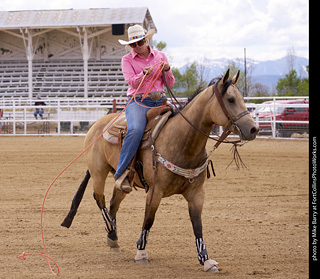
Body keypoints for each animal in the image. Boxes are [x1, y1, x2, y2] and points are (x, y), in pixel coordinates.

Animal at [61, 69, 258, 274]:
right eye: (230, 99)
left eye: (241, 98)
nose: (254, 129)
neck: (182, 141)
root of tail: (98, 124)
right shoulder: (155, 191)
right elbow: (149, 219)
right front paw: (141, 252)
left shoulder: (196, 193)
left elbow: (197, 225)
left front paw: (206, 260)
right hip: (98, 172)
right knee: (100, 199)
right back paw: (112, 233)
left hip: (122, 178)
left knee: (115, 201)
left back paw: (112, 238)